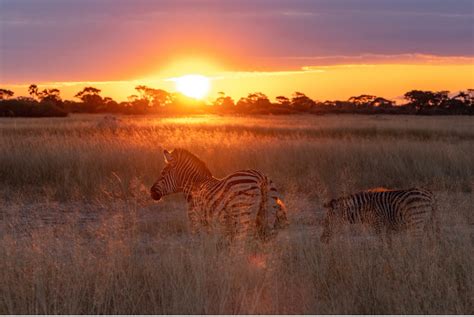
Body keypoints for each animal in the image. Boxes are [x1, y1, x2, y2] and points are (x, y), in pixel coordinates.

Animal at [150, 148, 288, 239]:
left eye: (163, 173)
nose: (151, 192)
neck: (195, 185)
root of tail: (261, 178)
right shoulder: (211, 223)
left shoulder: (195, 219)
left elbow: (199, 242)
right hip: (267, 215)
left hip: (243, 214)